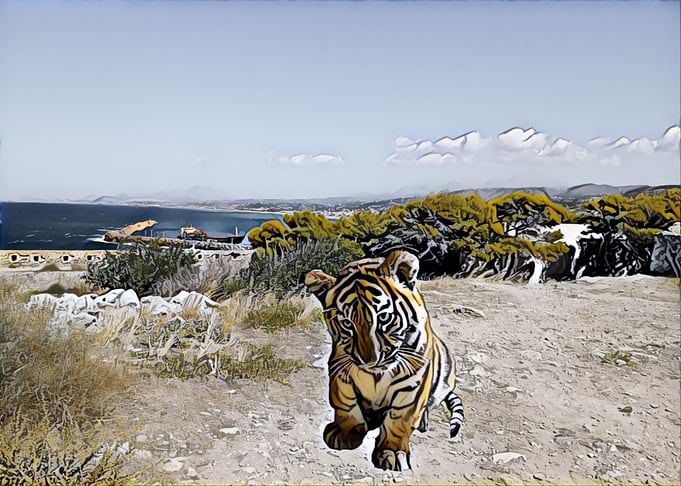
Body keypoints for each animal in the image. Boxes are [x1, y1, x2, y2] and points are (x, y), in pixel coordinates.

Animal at [304, 249, 464, 471]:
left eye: (384, 318)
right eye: (347, 323)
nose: (370, 361)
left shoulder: (414, 382)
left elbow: (400, 420)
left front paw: (392, 452)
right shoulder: (340, 368)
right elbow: (347, 405)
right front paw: (344, 434)